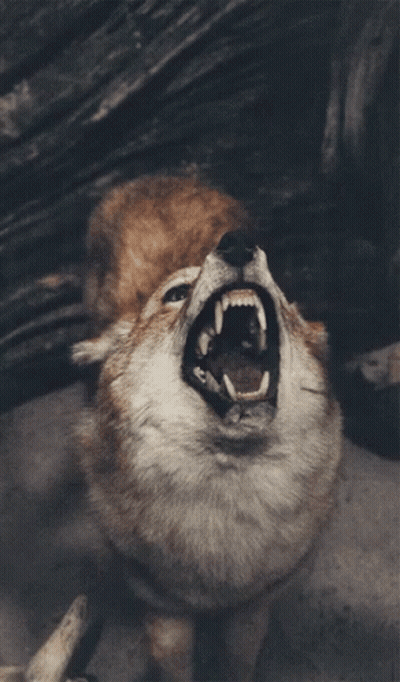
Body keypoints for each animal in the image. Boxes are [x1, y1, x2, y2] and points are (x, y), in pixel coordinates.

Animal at [74, 176, 342, 682]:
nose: (236, 245)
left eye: (279, 291)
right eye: (176, 294)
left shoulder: (251, 610)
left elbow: (239, 663)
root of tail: (162, 176)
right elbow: (177, 666)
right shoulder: (166, 612)